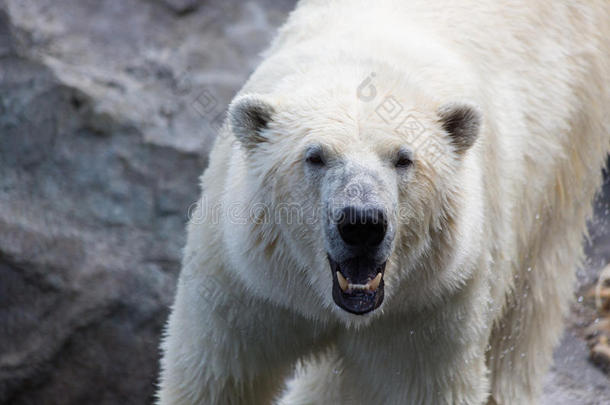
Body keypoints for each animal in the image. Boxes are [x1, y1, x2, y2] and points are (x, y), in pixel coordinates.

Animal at [158, 1, 608, 402]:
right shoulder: (249, 283)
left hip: (567, 146)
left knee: (529, 309)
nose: (361, 223)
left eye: (403, 158)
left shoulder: (429, 307)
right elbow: (218, 375)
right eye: (315, 156)